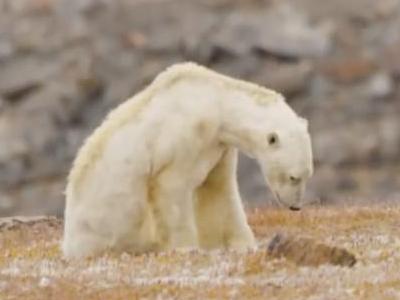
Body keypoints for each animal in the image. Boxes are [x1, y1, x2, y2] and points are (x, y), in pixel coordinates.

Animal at [62, 62, 314, 258]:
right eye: (294, 177)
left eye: (308, 175)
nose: (295, 206)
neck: (214, 102)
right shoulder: (183, 137)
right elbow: (171, 188)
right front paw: (186, 248)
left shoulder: (217, 145)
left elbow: (219, 190)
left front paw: (242, 245)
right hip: (105, 223)